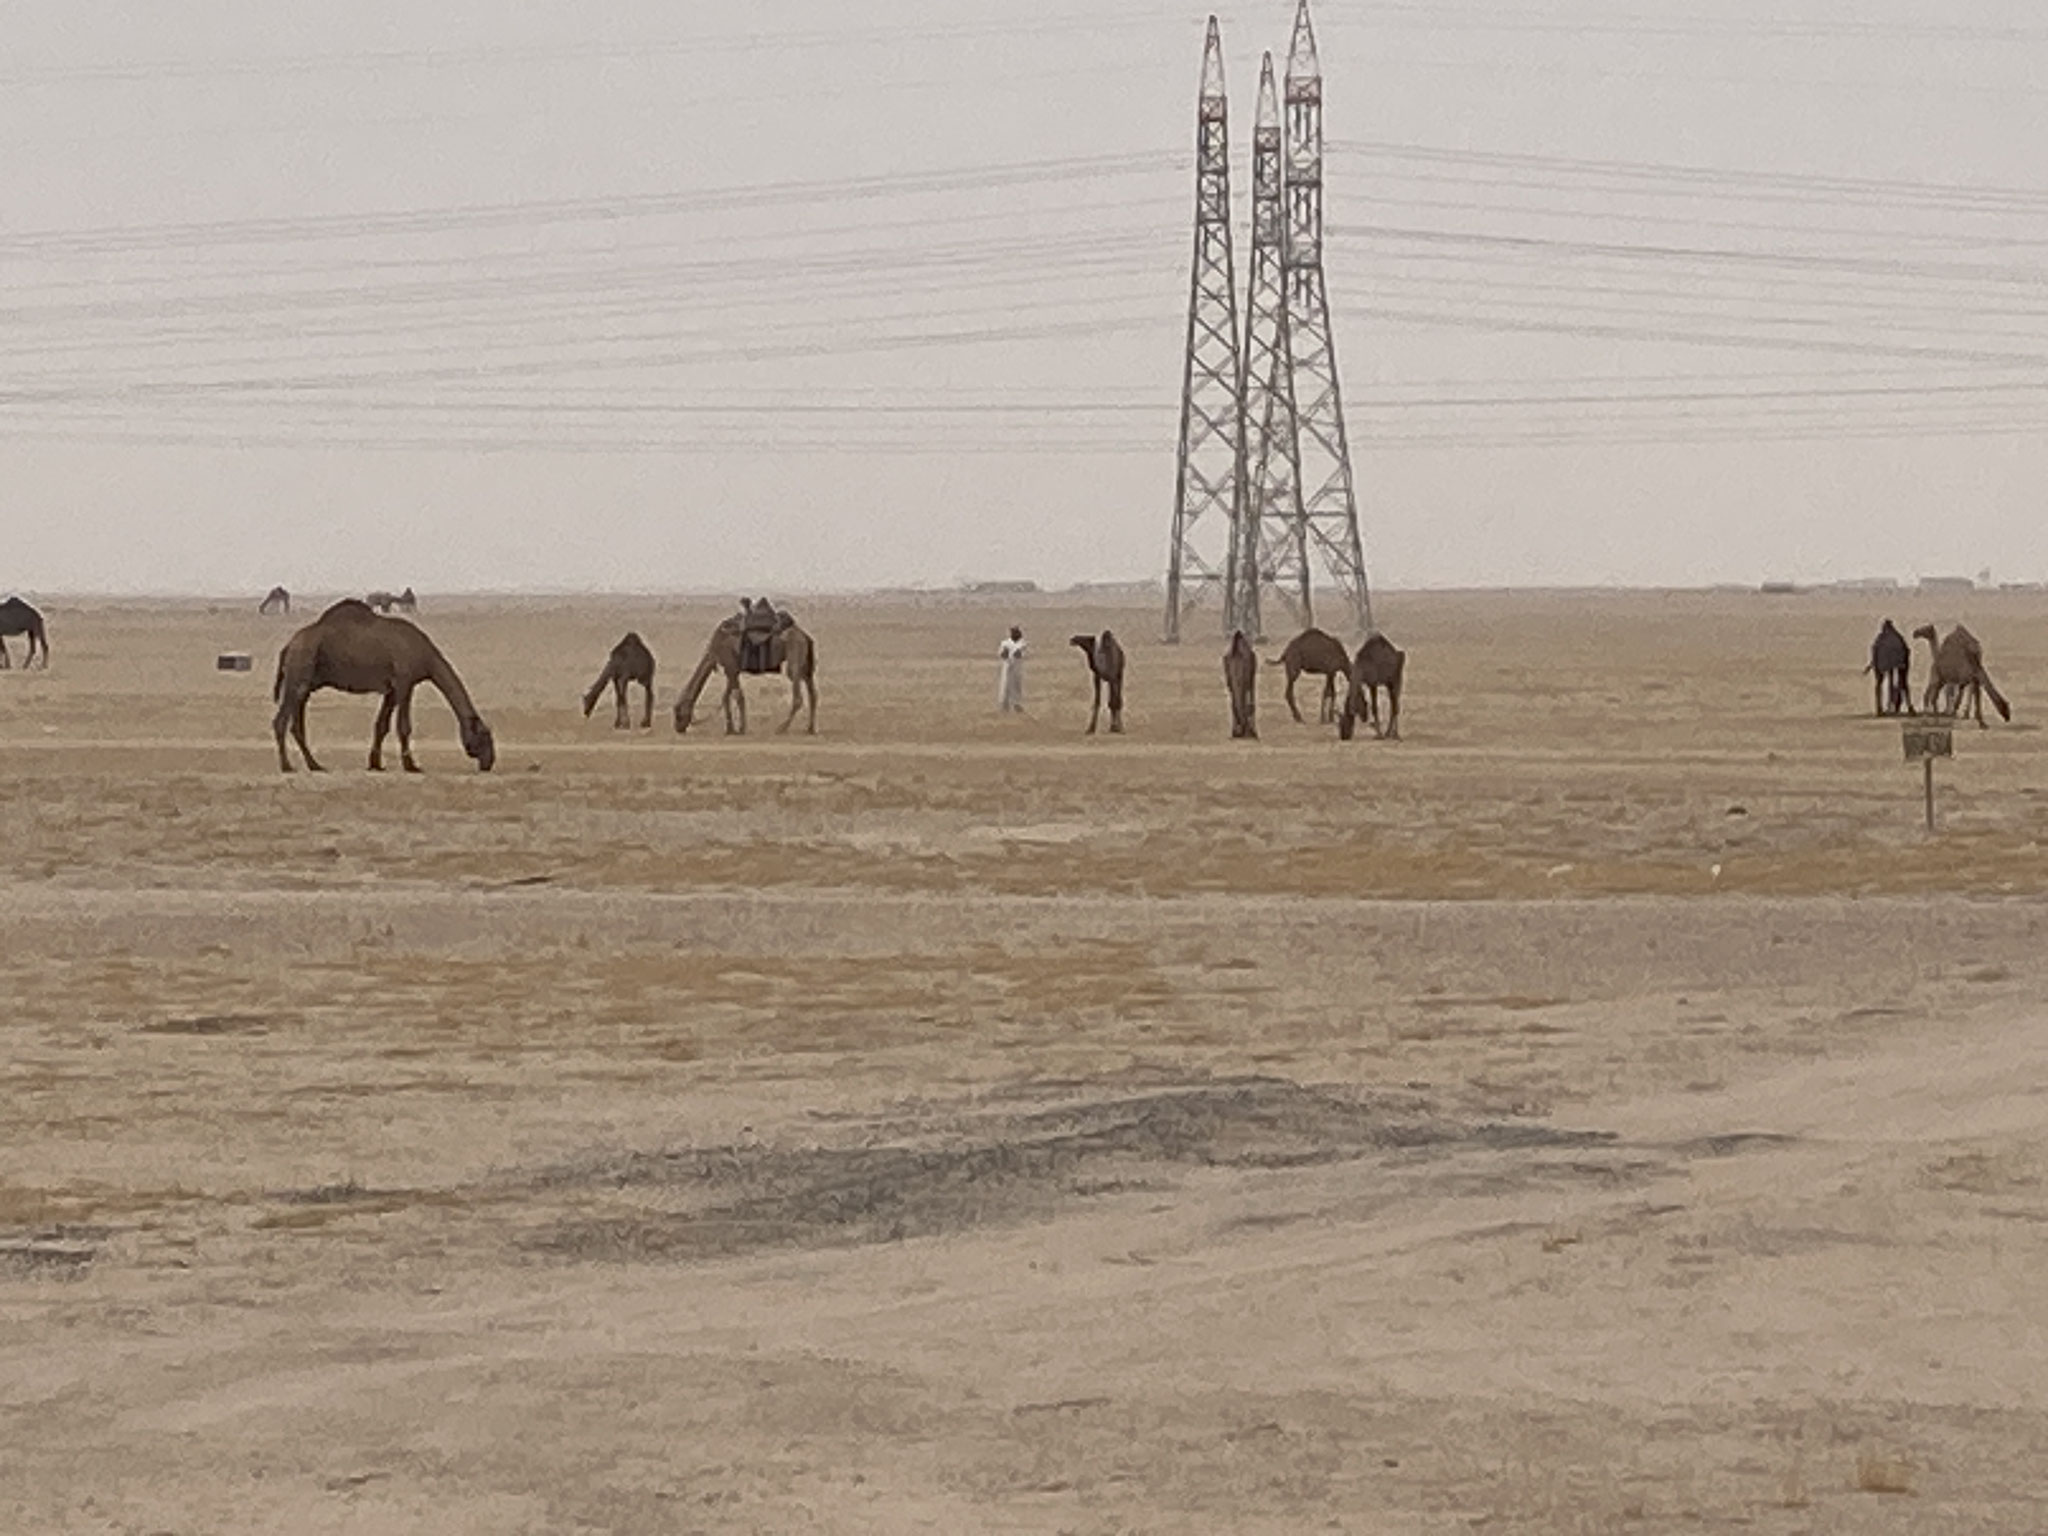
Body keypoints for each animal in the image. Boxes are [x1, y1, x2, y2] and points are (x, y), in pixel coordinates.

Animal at [272, 598, 495, 774]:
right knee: (281, 720)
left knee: (296, 723)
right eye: (485, 736)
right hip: (300, 667)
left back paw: (315, 765)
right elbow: (404, 726)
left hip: (305, 682)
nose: (489, 762)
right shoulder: (405, 682)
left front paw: (375, 764)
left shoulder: (392, 689)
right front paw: (411, 766)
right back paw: (287, 766)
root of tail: (288, 646)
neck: (426, 656)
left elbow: (381, 725)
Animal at [671, 618, 815, 737]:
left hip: (794, 652)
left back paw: (782, 728)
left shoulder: (730, 666)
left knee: (798, 694)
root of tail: (805, 636)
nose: (678, 728)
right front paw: (730, 729)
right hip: (805, 663)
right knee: (812, 692)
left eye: (677, 712)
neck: (715, 649)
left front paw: (741, 729)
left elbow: (737, 696)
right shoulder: (731, 669)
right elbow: (726, 697)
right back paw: (810, 729)